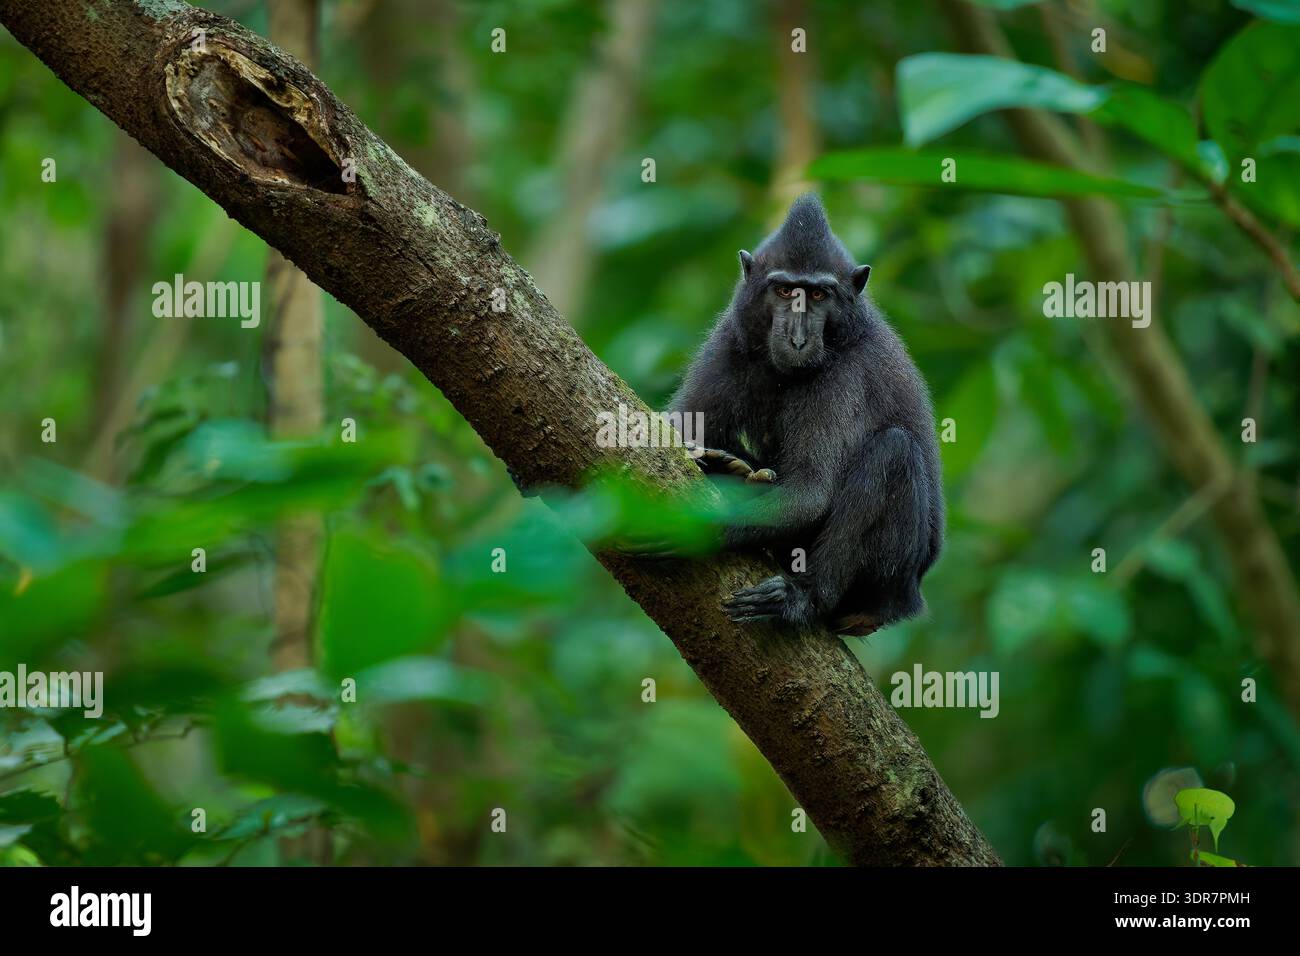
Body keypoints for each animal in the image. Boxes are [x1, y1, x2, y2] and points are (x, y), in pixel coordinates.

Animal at [666, 194, 944, 637]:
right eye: (784, 290)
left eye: (817, 296)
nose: (797, 339)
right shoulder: (730, 340)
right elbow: (670, 427)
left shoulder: (841, 378)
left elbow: (810, 493)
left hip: (887, 581)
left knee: (894, 451)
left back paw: (805, 599)